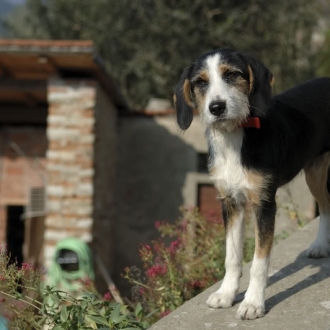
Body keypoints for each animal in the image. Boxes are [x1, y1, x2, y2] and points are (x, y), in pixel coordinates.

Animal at [174, 49, 330, 320]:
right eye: (200, 82)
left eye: (231, 74)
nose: (216, 107)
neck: (234, 135)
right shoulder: (230, 203)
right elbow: (232, 256)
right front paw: (226, 294)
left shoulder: (264, 204)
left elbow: (259, 262)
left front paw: (253, 302)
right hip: (315, 172)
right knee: (326, 205)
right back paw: (320, 246)